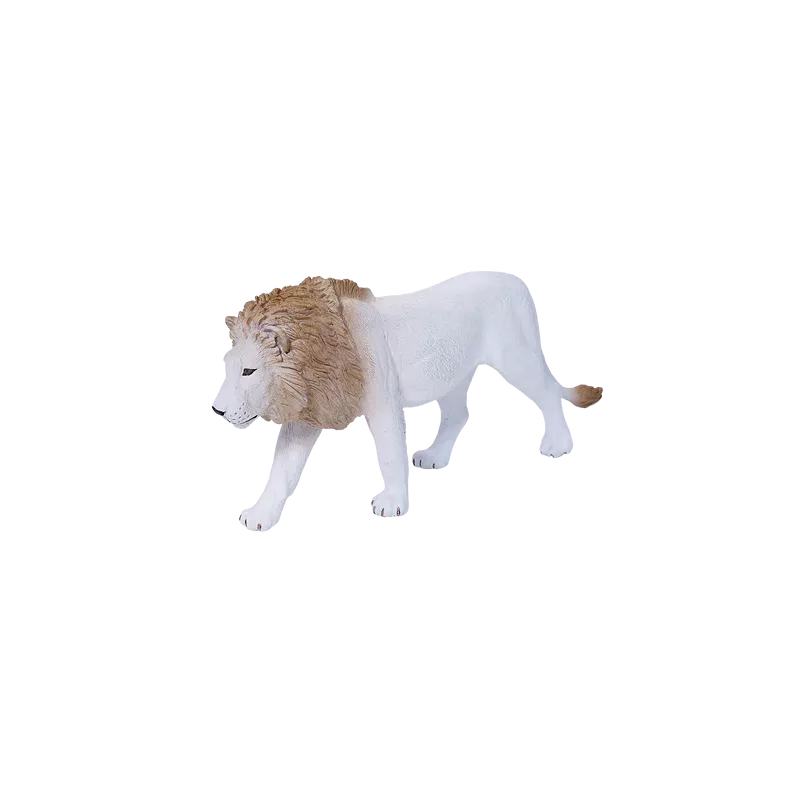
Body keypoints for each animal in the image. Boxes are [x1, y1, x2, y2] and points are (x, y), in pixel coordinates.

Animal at [211, 271, 604, 532]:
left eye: (249, 371)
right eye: (227, 370)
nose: (216, 409)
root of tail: (514, 279)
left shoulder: (382, 397)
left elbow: (390, 451)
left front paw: (391, 504)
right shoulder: (316, 406)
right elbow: (282, 469)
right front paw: (258, 515)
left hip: (514, 352)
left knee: (548, 390)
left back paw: (556, 445)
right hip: (450, 370)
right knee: (459, 413)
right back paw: (432, 458)